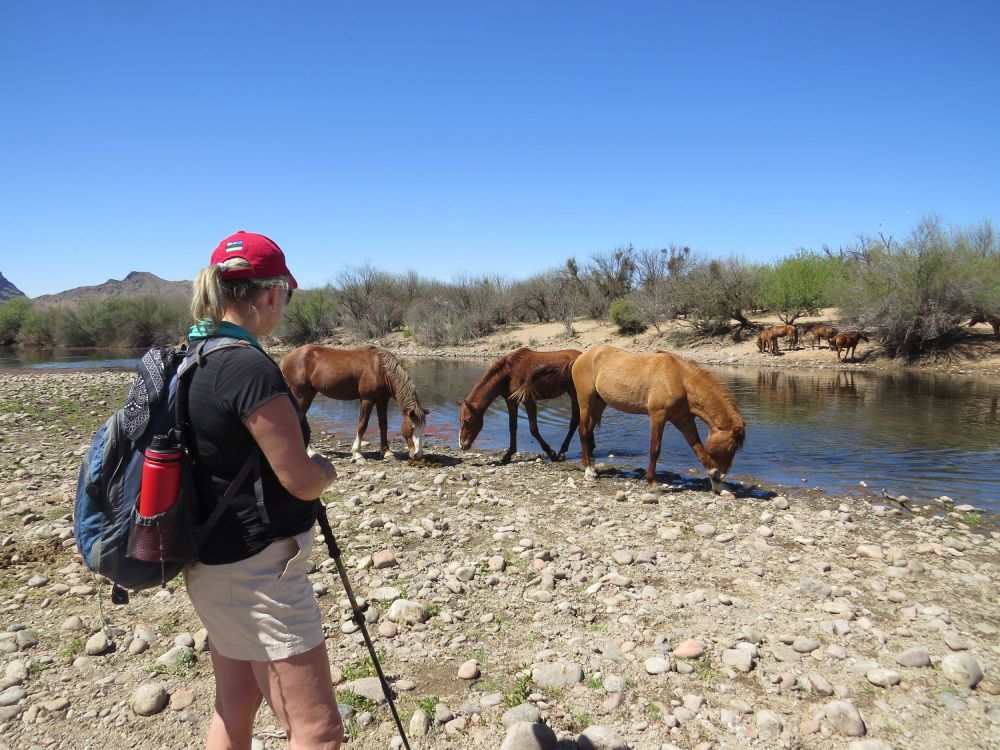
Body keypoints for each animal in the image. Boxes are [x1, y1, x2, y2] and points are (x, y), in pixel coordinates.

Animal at [279, 344, 431, 461]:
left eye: (423, 427)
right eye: (411, 427)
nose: (417, 455)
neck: (380, 369)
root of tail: (286, 358)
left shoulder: (382, 400)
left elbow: (383, 425)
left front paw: (387, 452)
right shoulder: (367, 400)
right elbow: (362, 425)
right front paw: (357, 453)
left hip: (309, 394)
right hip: (301, 395)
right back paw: (310, 451)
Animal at [544, 345, 746, 492]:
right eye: (732, 447)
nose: (722, 474)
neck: (679, 379)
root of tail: (581, 357)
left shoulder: (683, 420)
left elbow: (698, 447)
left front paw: (715, 482)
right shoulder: (658, 416)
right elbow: (655, 448)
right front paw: (652, 482)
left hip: (600, 403)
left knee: (589, 431)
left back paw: (593, 468)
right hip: (585, 400)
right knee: (583, 431)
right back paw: (587, 471)